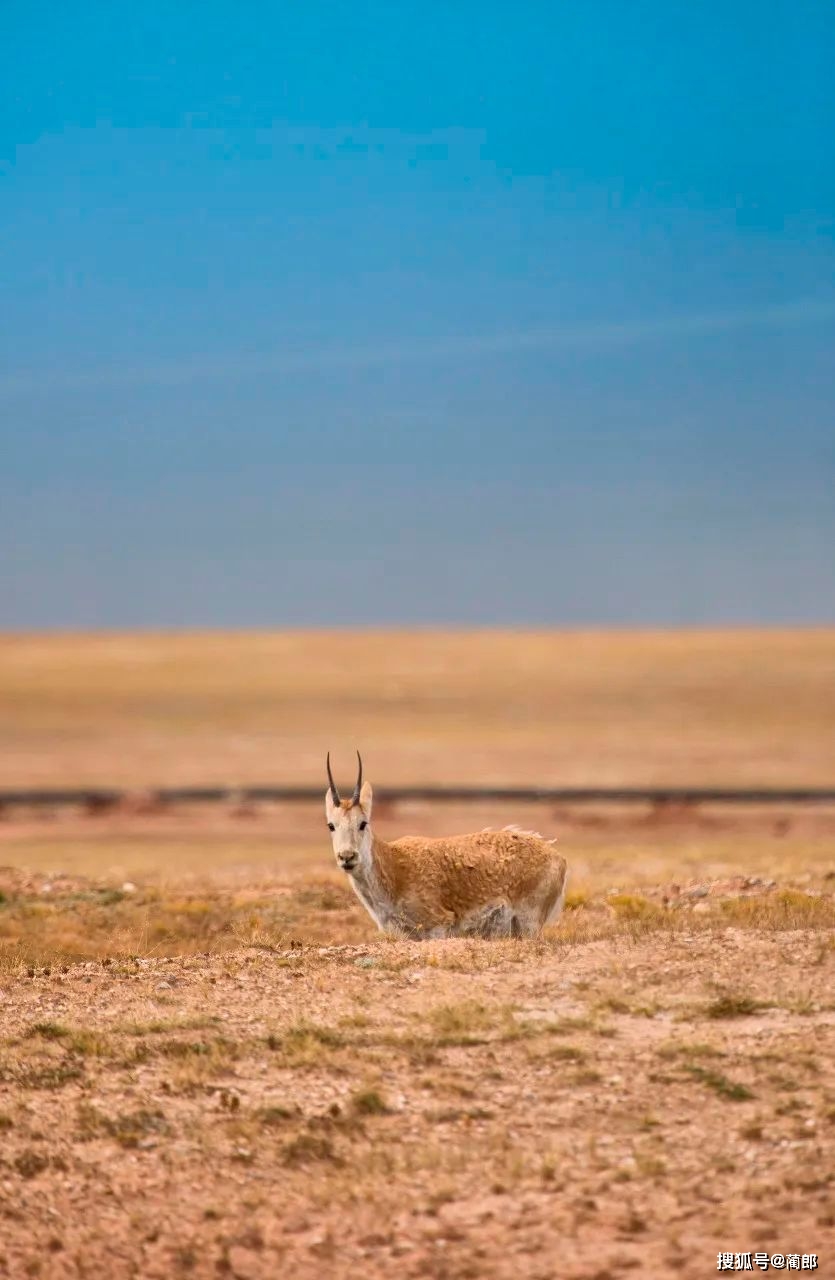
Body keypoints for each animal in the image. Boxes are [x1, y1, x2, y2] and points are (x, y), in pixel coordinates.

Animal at [326, 747, 568, 942]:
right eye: (331, 825)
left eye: (363, 823)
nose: (347, 856)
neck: (395, 865)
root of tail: (558, 857)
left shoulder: (438, 927)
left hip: (529, 924)